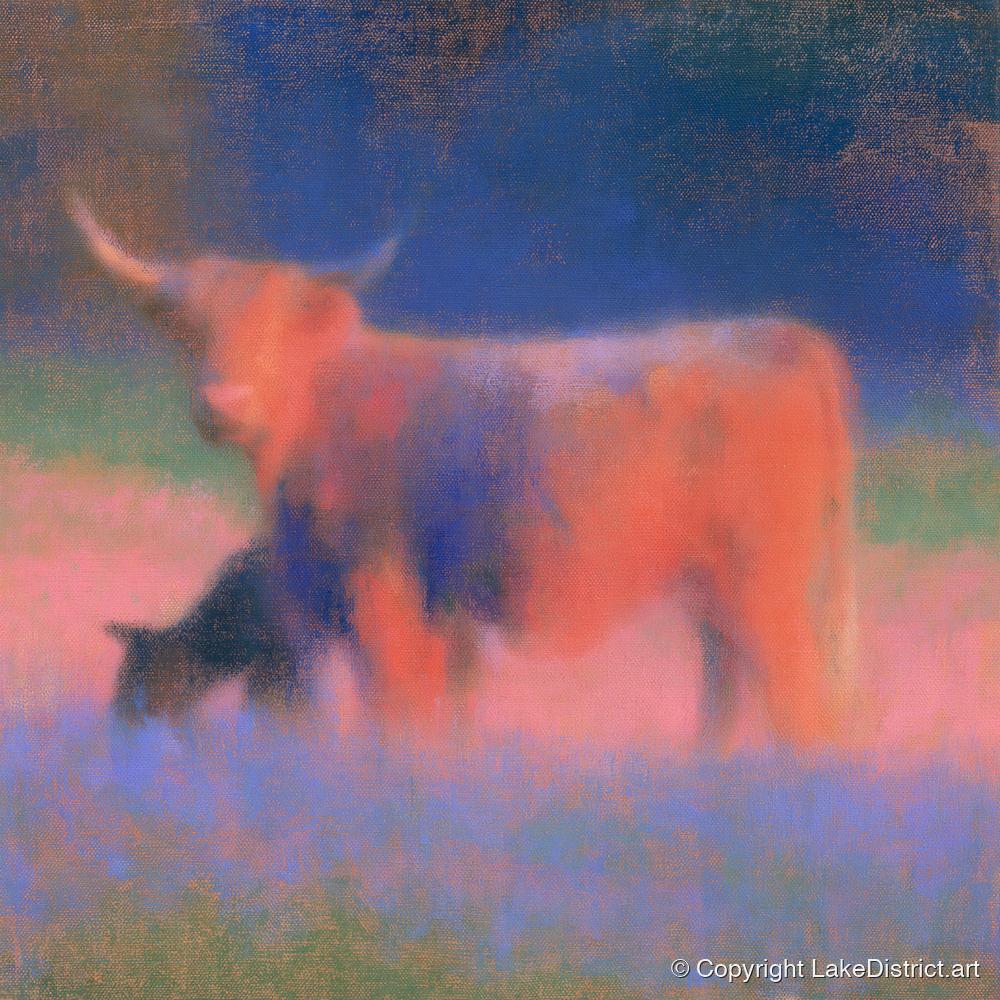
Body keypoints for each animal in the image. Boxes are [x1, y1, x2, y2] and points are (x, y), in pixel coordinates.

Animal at [71, 194, 858, 744]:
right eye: (193, 328)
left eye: (278, 329)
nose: (223, 402)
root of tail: (779, 332)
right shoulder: (428, 622)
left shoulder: (381, 595)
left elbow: (399, 715)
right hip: (717, 595)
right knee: (727, 699)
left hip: (766, 586)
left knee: (805, 713)